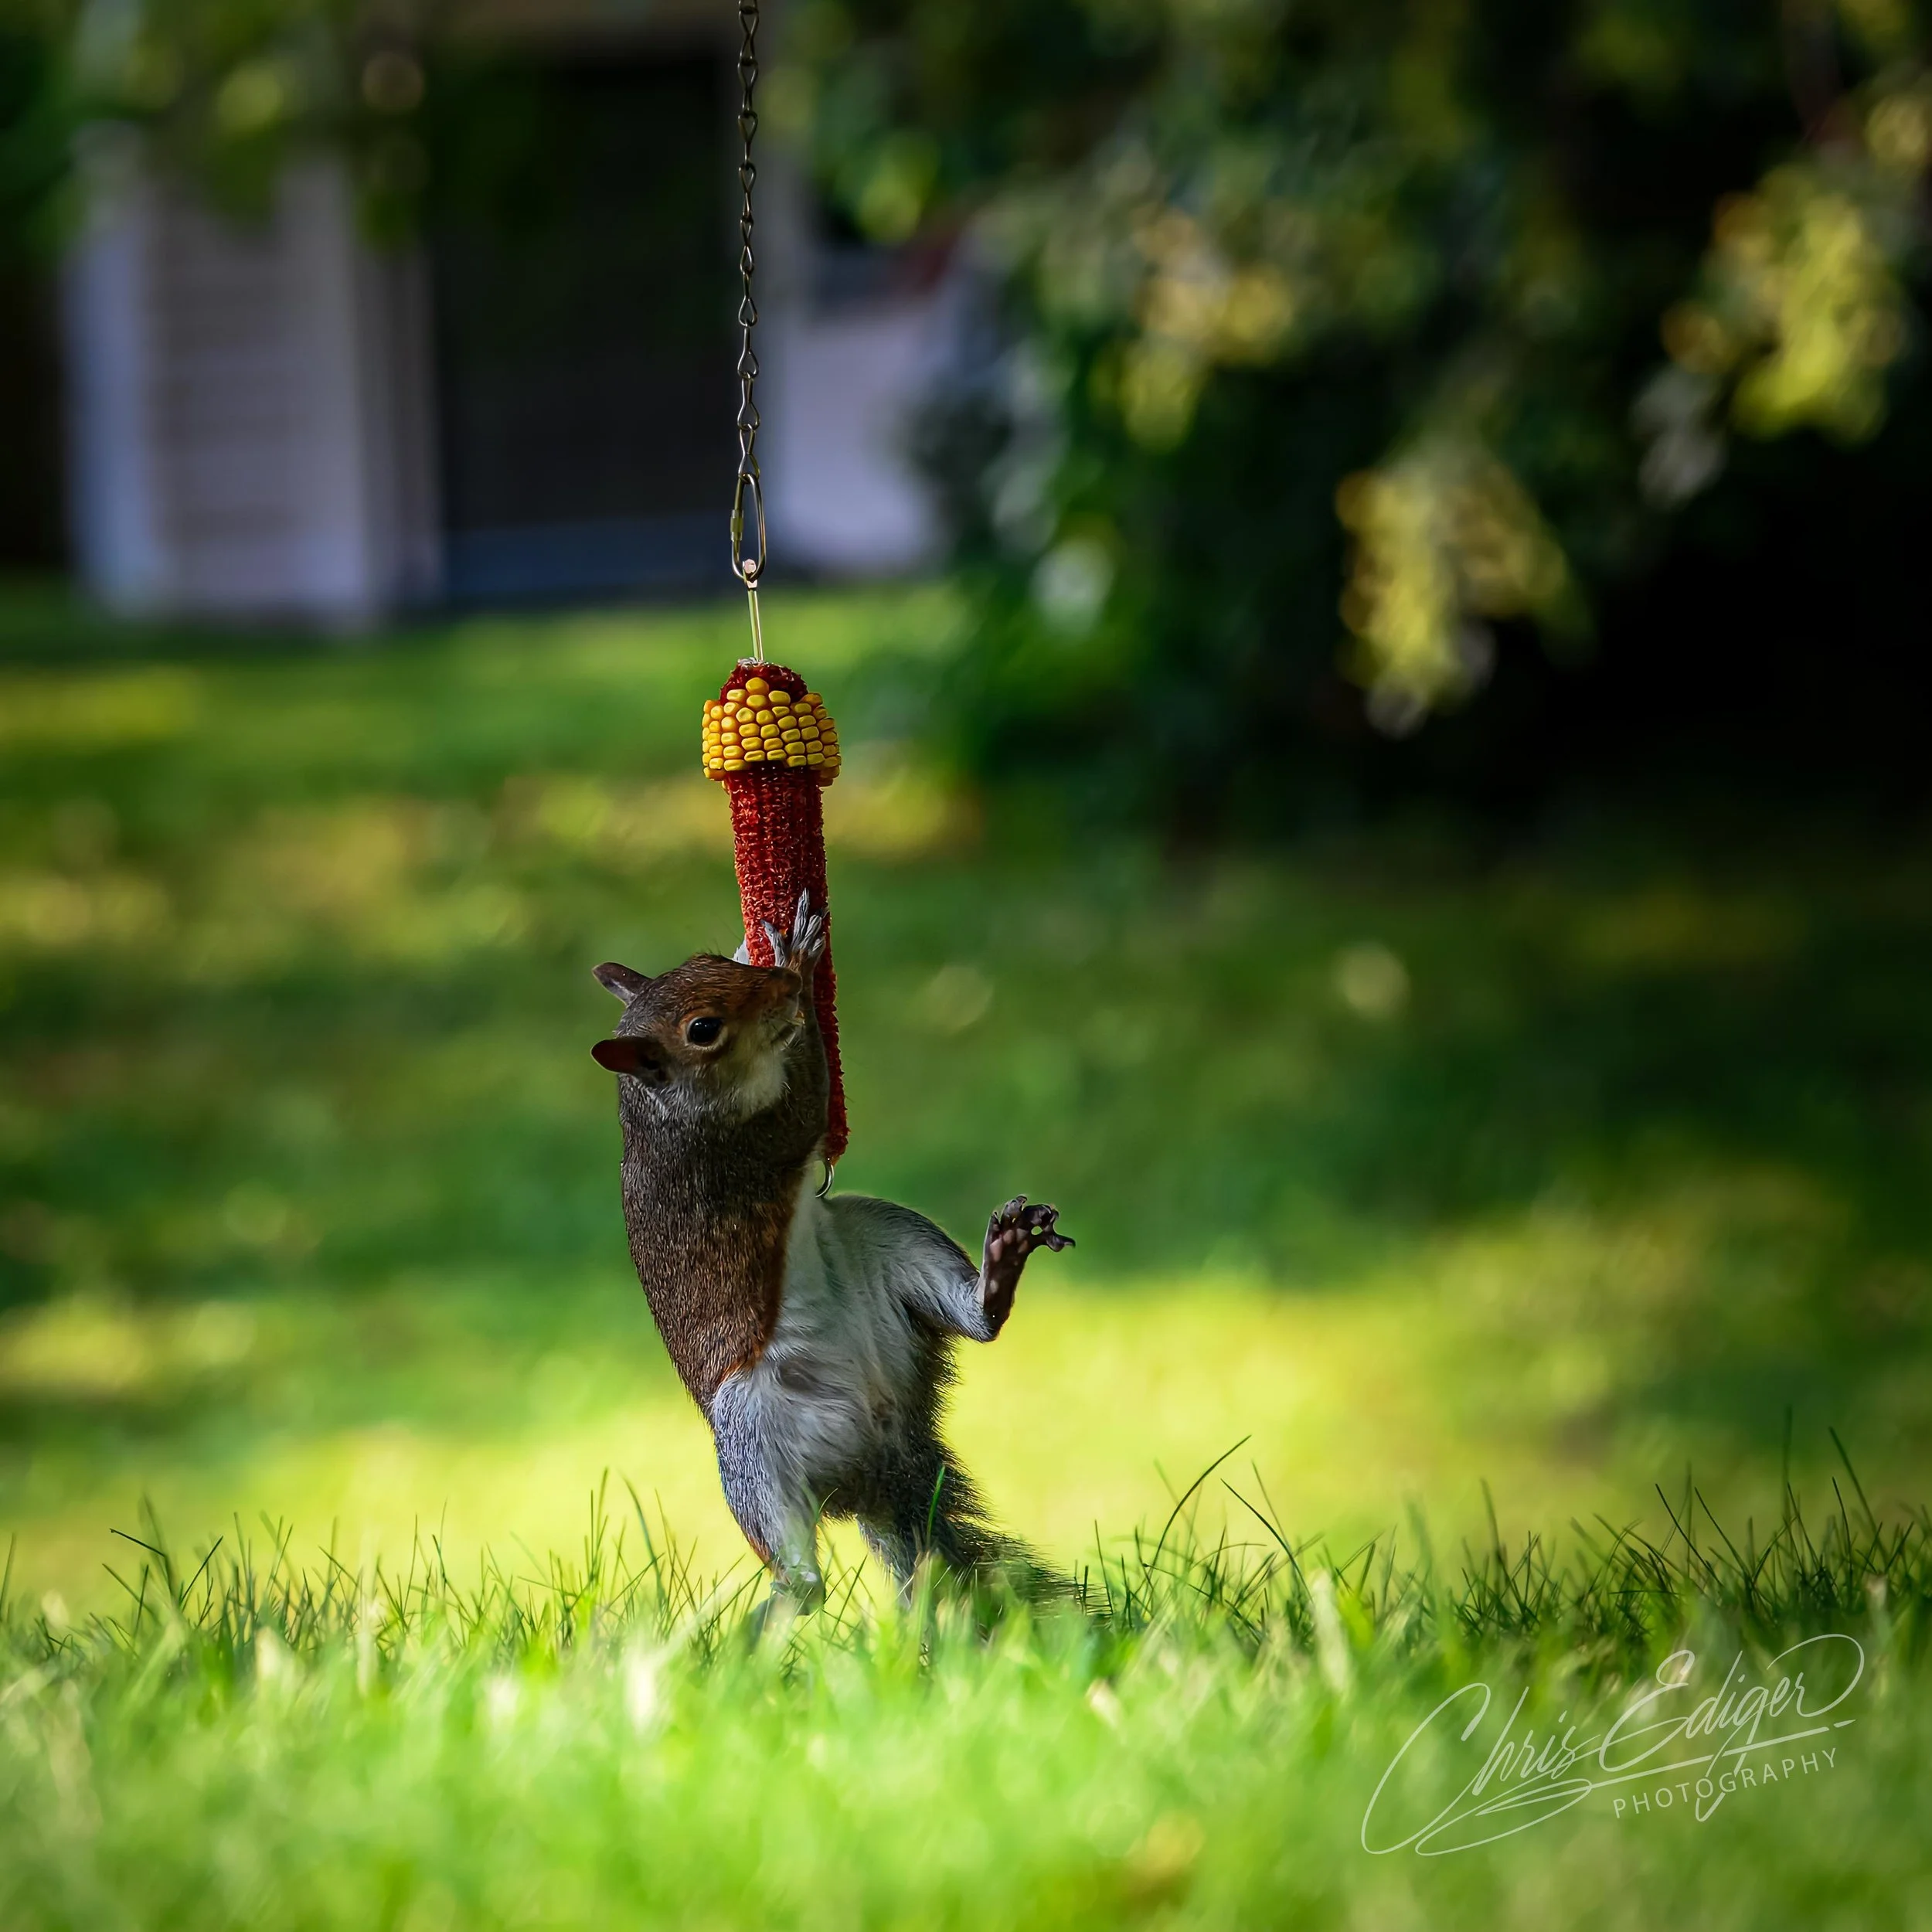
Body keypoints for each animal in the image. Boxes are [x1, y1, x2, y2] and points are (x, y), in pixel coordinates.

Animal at [590, 891, 1073, 1604]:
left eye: (706, 961)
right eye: (703, 1029)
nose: (782, 986)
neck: (659, 1109)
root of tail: (881, 1466)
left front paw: (771, 945)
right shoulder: (743, 1144)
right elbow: (807, 1105)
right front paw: (800, 959)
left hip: (890, 1238)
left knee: (980, 1321)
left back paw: (1001, 1262)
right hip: (750, 1432)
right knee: (798, 1570)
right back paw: (782, 1602)